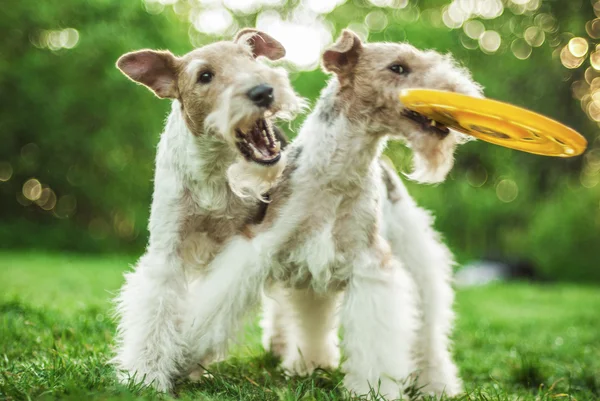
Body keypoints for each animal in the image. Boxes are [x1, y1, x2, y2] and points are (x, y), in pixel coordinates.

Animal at [110, 28, 302, 390]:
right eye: (205, 76)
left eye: (250, 58)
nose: (263, 90)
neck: (214, 171)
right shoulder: (167, 249)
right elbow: (157, 310)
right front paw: (146, 374)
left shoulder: (244, 243)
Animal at [182, 29, 482, 398]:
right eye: (398, 67)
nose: (457, 97)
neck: (337, 174)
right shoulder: (258, 248)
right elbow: (213, 309)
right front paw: (181, 359)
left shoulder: (370, 266)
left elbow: (375, 343)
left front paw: (374, 389)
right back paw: (305, 363)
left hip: (415, 260)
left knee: (427, 333)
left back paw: (435, 384)